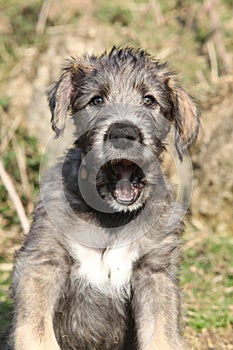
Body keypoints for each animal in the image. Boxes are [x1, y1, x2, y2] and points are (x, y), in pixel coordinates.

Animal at [8, 47, 198, 350]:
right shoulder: (43, 259)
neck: (110, 216)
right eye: (96, 100)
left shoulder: (155, 271)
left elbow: (162, 334)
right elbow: (37, 328)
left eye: (149, 100)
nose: (123, 132)